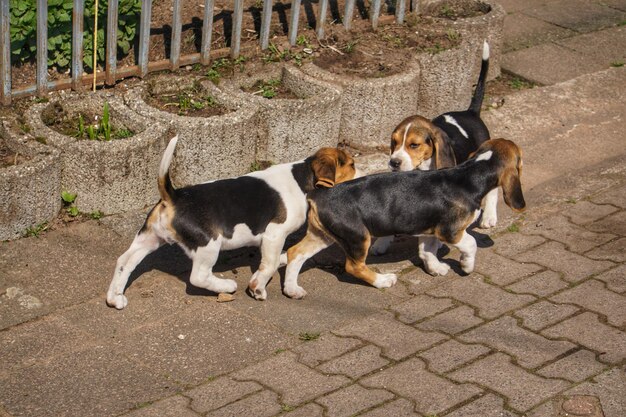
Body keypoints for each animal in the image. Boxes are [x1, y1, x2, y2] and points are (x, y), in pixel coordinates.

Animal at [107, 135, 356, 308]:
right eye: (351, 165)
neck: (302, 175)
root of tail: (174, 196)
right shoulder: (275, 234)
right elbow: (270, 264)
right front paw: (258, 289)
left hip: (149, 239)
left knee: (124, 262)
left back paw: (115, 298)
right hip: (209, 244)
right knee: (198, 277)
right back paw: (226, 285)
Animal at [282, 138, 520, 298]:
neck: (470, 174)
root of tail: (319, 195)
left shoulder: (428, 227)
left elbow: (427, 251)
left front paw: (435, 268)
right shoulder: (450, 231)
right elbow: (470, 243)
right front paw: (467, 266)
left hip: (323, 235)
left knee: (295, 253)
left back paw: (292, 289)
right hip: (357, 236)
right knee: (353, 267)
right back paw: (383, 281)